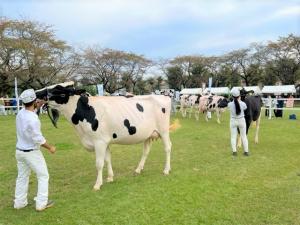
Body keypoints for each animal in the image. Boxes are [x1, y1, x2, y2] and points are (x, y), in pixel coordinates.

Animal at [35, 81, 178, 190]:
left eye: (59, 90)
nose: (37, 93)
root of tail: (164, 96)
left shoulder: (99, 142)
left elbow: (99, 163)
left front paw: (98, 184)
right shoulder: (105, 141)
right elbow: (108, 159)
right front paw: (110, 177)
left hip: (164, 130)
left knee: (168, 147)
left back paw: (166, 170)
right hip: (148, 134)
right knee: (146, 151)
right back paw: (138, 169)